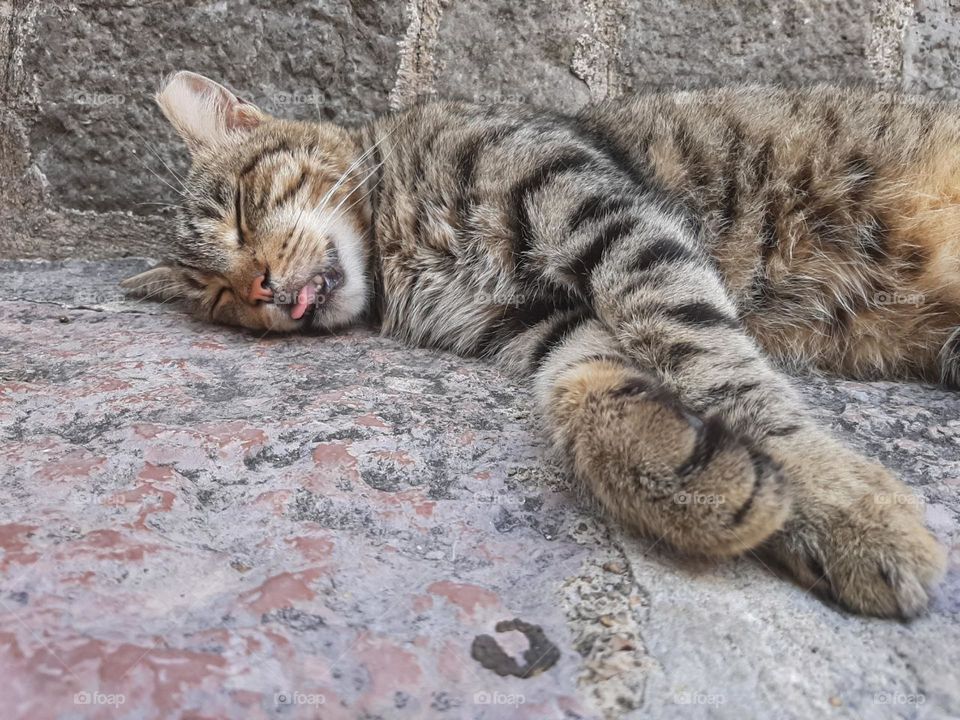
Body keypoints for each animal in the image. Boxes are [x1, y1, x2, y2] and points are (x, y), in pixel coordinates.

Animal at [122, 71, 952, 620]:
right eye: (218, 298)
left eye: (238, 210)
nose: (259, 290)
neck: (396, 250)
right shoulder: (550, 321)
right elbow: (588, 391)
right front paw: (693, 478)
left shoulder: (605, 216)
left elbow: (708, 356)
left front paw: (838, 507)